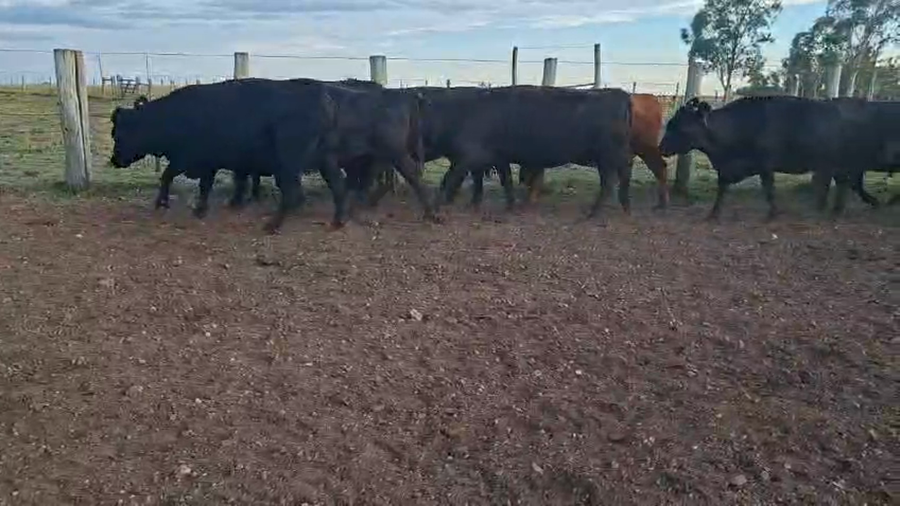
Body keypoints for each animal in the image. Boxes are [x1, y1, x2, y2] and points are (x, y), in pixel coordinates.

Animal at [658, 96, 874, 220]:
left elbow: (769, 189)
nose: (661, 147)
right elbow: (722, 188)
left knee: (847, 183)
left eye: (680, 126)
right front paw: (713, 213)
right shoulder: (728, 169)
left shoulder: (765, 166)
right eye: (670, 123)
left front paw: (773, 214)